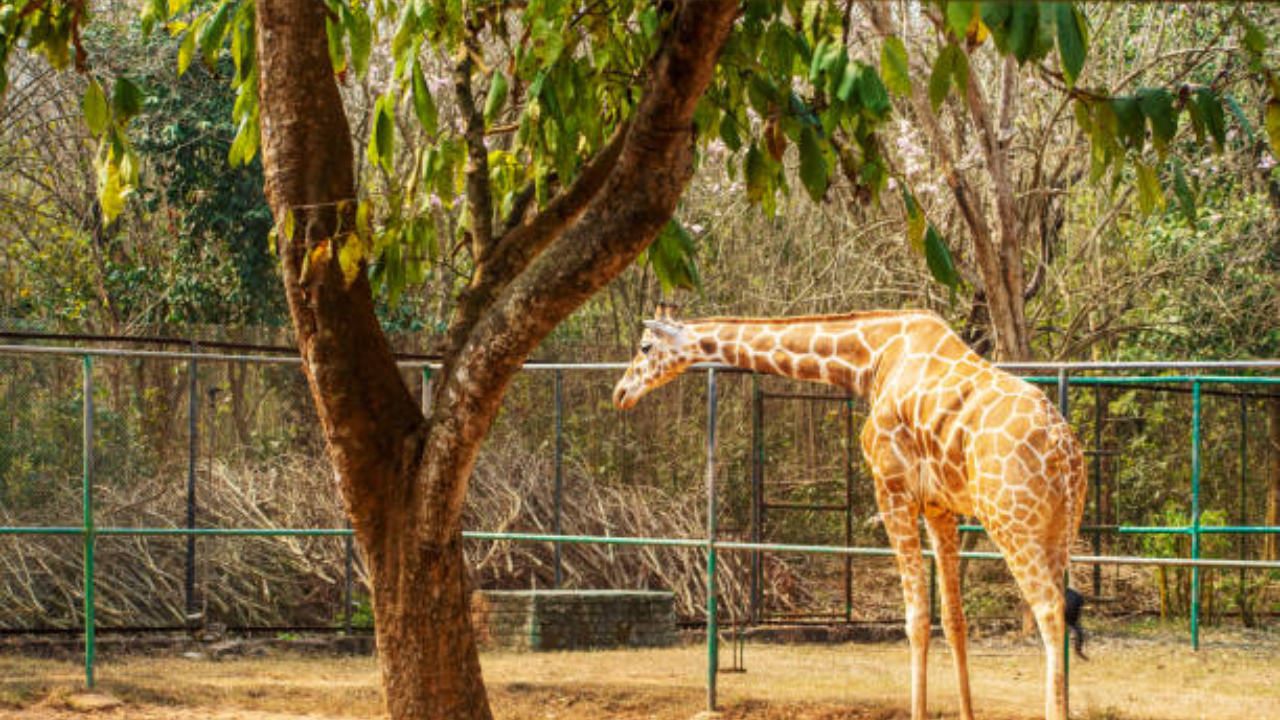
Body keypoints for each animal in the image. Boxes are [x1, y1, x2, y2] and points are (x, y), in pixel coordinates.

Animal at [614, 302, 1085, 717]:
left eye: (645, 346)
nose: (620, 393)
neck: (871, 359)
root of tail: (1064, 451)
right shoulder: (939, 506)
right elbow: (953, 619)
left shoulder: (892, 490)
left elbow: (916, 620)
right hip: (1058, 531)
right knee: (1061, 609)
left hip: (1012, 525)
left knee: (1048, 613)